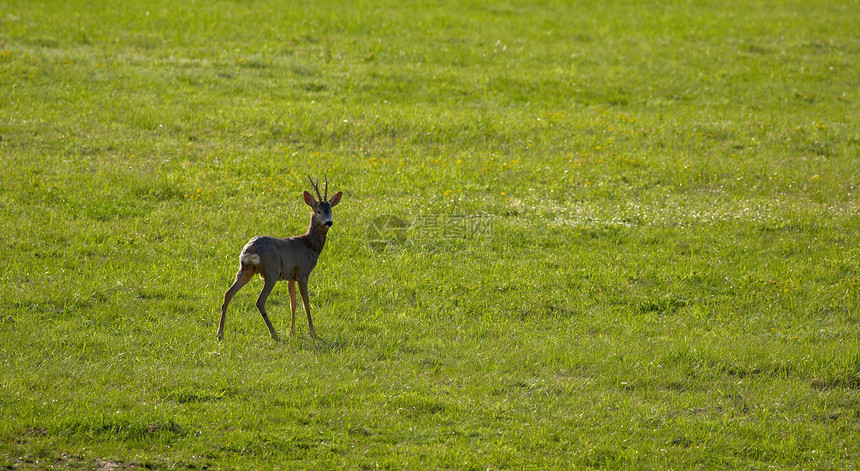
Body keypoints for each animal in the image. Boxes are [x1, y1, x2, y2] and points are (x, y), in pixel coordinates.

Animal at [215, 175, 342, 342]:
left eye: (331, 210)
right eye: (319, 211)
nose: (329, 222)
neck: (309, 245)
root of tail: (249, 250)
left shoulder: (290, 277)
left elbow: (293, 303)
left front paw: (292, 331)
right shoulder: (303, 272)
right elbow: (306, 302)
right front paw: (312, 333)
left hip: (245, 269)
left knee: (228, 294)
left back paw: (220, 334)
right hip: (271, 271)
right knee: (260, 301)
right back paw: (274, 335)